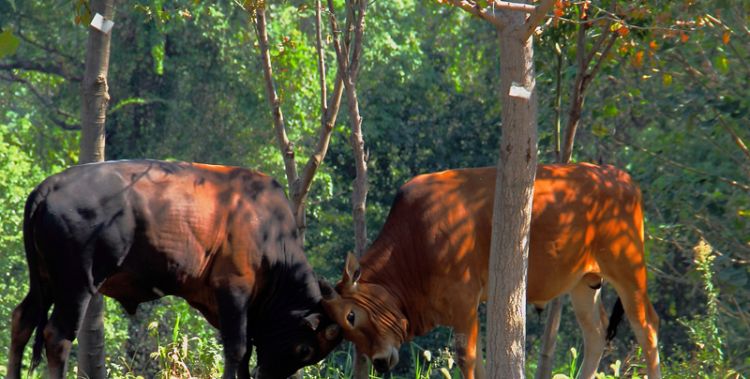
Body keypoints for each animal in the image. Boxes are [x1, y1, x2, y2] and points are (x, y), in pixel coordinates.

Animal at [7, 161, 342, 379]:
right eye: (304, 350)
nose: (268, 375)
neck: (268, 228)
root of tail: (49, 186)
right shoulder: (234, 290)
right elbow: (236, 349)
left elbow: (244, 352)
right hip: (77, 286)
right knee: (58, 336)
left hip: (45, 283)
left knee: (22, 320)